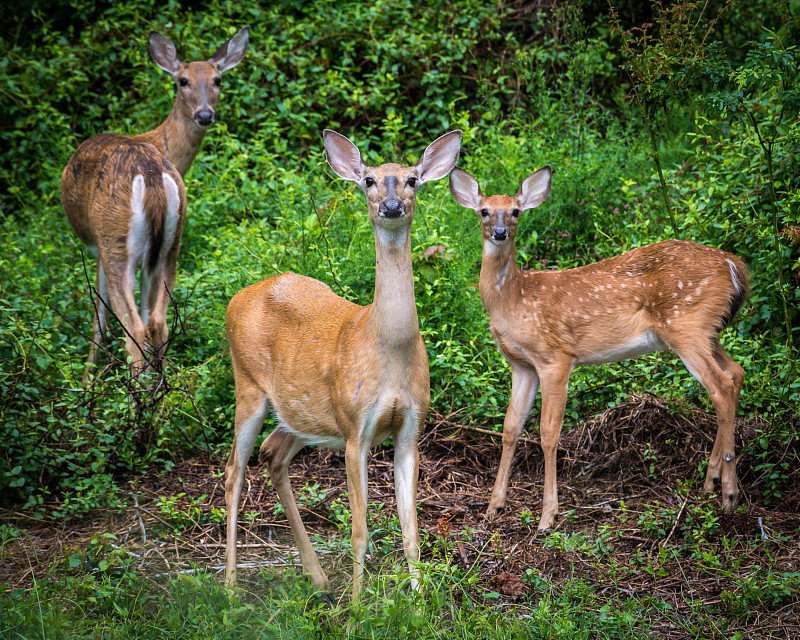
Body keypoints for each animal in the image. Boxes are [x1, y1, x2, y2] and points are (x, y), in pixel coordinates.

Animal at [60, 27, 248, 380]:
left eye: (217, 79)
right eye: (183, 80)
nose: (205, 115)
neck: (158, 142)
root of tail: (150, 175)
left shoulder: (98, 248)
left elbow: (98, 319)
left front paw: (87, 379)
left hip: (115, 240)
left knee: (133, 327)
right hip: (171, 244)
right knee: (156, 321)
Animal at [223, 127, 462, 596]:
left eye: (412, 179)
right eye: (369, 180)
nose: (392, 206)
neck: (387, 349)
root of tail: (237, 297)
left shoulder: (411, 428)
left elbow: (411, 529)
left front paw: (419, 601)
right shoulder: (355, 427)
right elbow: (360, 529)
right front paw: (357, 604)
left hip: (303, 413)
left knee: (272, 454)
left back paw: (316, 577)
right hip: (249, 385)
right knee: (233, 471)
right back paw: (229, 588)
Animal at [450, 165, 752, 528]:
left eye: (515, 211)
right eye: (484, 210)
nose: (499, 232)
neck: (513, 299)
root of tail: (735, 265)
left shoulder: (555, 356)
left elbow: (548, 432)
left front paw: (548, 515)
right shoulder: (521, 365)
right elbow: (510, 428)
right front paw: (494, 506)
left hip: (686, 324)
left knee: (720, 386)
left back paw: (729, 496)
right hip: (706, 331)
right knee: (736, 372)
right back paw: (711, 481)